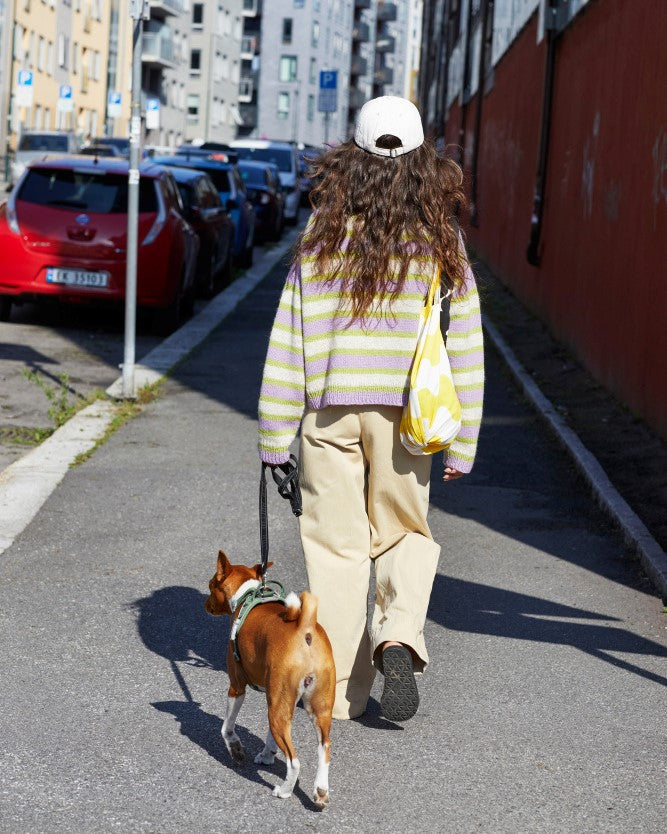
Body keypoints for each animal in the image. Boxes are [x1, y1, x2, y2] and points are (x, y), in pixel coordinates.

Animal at [204, 548, 336, 804]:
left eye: (210, 585)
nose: (205, 605)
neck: (247, 595)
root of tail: (305, 629)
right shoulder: (275, 696)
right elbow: (269, 737)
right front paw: (267, 755)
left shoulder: (237, 687)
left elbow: (227, 728)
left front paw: (235, 749)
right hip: (312, 708)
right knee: (324, 748)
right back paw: (320, 791)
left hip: (278, 710)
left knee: (294, 761)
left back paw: (284, 791)